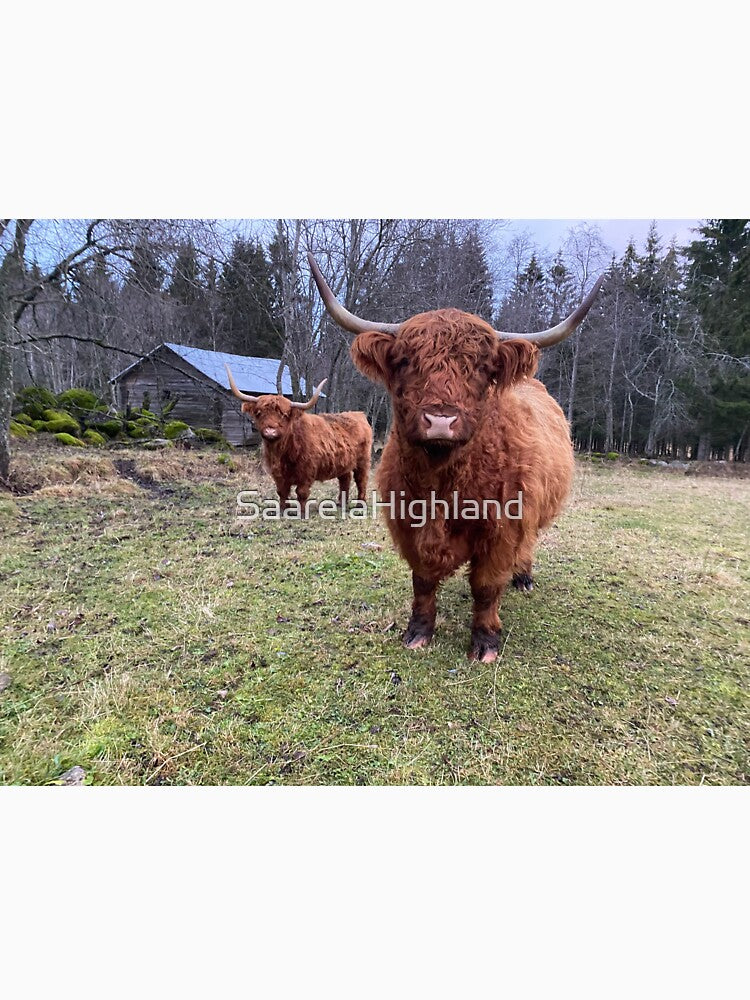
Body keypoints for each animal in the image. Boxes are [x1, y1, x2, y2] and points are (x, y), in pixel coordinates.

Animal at [225, 365, 372, 513]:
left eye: (284, 415)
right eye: (259, 413)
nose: (270, 430)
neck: (281, 452)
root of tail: (359, 414)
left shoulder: (306, 471)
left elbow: (301, 493)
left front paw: (302, 512)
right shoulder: (277, 473)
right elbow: (282, 492)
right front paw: (283, 509)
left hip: (363, 461)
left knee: (361, 480)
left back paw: (360, 504)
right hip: (344, 462)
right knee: (345, 479)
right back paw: (341, 504)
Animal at [308, 253, 603, 662]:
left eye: (482, 367)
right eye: (405, 361)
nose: (440, 420)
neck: (442, 485)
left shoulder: (503, 529)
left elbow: (486, 586)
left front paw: (486, 642)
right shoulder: (408, 525)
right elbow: (422, 582)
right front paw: (418, 632)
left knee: (527, 547)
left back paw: (523, 578)